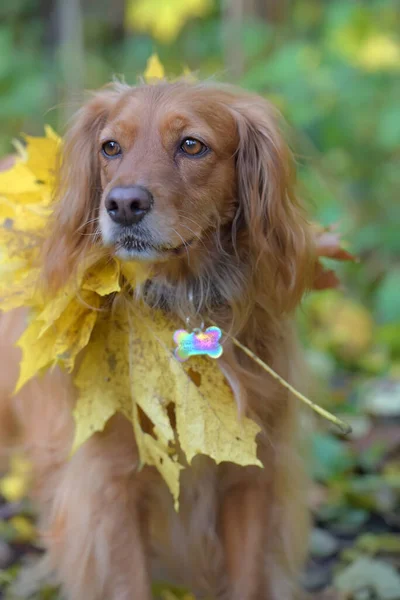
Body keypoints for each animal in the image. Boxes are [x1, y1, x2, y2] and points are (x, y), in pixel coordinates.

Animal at [0, 82, 316, 600]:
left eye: (191, 145)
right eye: (110, 147)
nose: (123, 205)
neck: (179, 313)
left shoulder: (249, 473)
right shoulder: (109, 487)